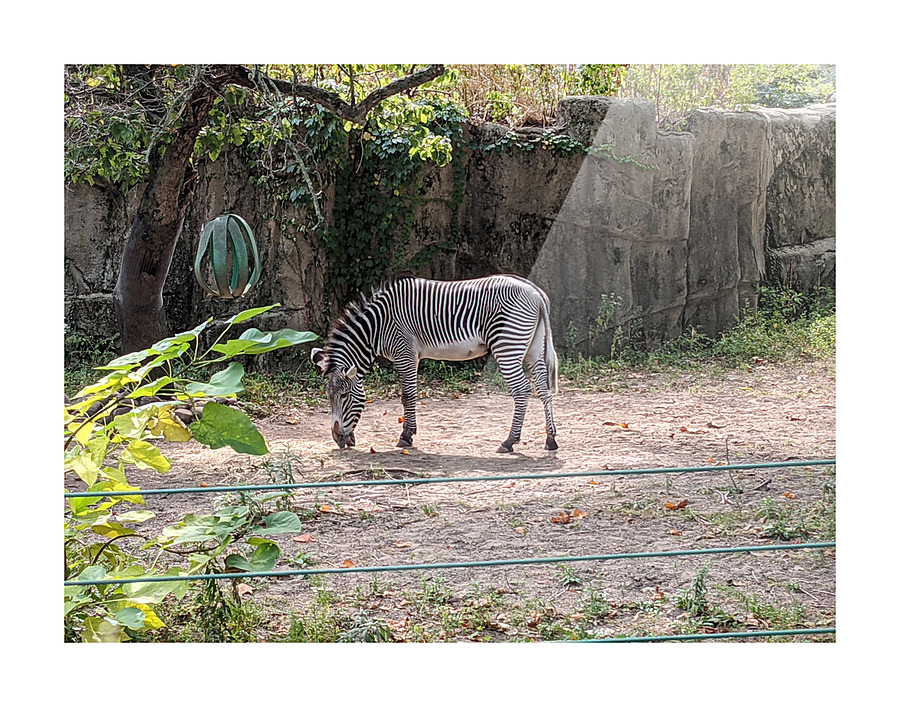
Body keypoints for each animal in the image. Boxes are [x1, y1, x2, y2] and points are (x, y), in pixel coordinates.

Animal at [310, 274, 560, 453]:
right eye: (329, 397)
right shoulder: (411, 355)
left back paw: (509, 441)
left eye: (345, 396)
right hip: (533, 348)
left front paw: (406, 436)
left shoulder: (405, 353)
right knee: (543, 389)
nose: (338, 439)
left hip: (507, 346)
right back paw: (550, 438)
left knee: (522, 390)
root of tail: (536, 293)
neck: (377, 326)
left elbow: (407, 395)